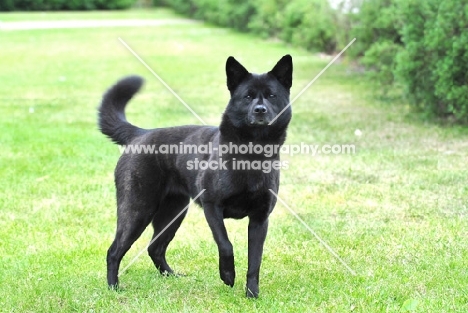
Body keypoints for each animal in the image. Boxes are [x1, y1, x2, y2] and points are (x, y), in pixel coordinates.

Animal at [98, 54, 292, 298]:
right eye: (247, 96)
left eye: (272, 95)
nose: (260, 110)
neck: (251, 154)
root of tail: (140, 134)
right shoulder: (212, 207)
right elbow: (225, 244)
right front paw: (228, 276)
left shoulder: (259, 219)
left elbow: (255, 261)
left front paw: (252, 295)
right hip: (137, 210)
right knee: (114, 251)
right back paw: (113, 287)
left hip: (174, 212)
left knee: (155, 247)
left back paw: (171, 276)